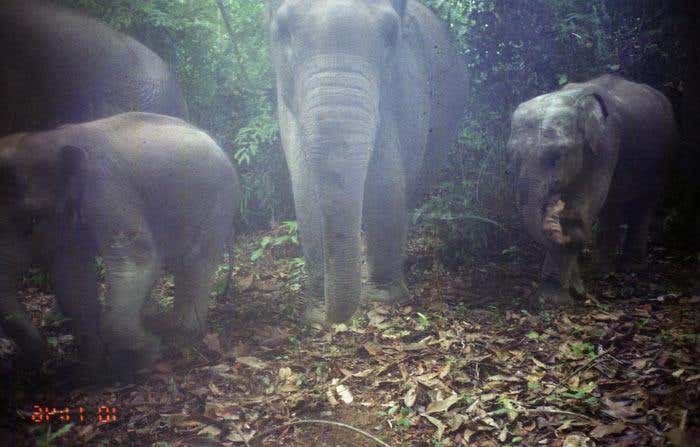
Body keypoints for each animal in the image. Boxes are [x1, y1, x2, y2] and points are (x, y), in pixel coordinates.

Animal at [0, 112, 240, 373]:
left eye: (32, 220)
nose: (32, 360)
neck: (50, 138)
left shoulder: (106, 187)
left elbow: (137, 255)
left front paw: (143, 355)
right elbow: (71, 277)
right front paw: (88, 366)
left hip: (214, 202)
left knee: (195, 260)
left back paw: (178, 335)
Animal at [268, 0, 468, 323]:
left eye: (390, 34)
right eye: (283, 30)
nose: (334, 319)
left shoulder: (408, 84)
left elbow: (387, 182)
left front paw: (384, 299)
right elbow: (305, 192)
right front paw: (316, 312)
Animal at [508, 74, 677, 306]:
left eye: (556, 156)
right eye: (512, 155)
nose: (581, 292)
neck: (571, 99)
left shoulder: (607, 144)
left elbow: (582, 207)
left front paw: (555, 299)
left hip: (664, 152)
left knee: (644, 203)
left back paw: (629, 268)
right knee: (612, 206)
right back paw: (602, 271)